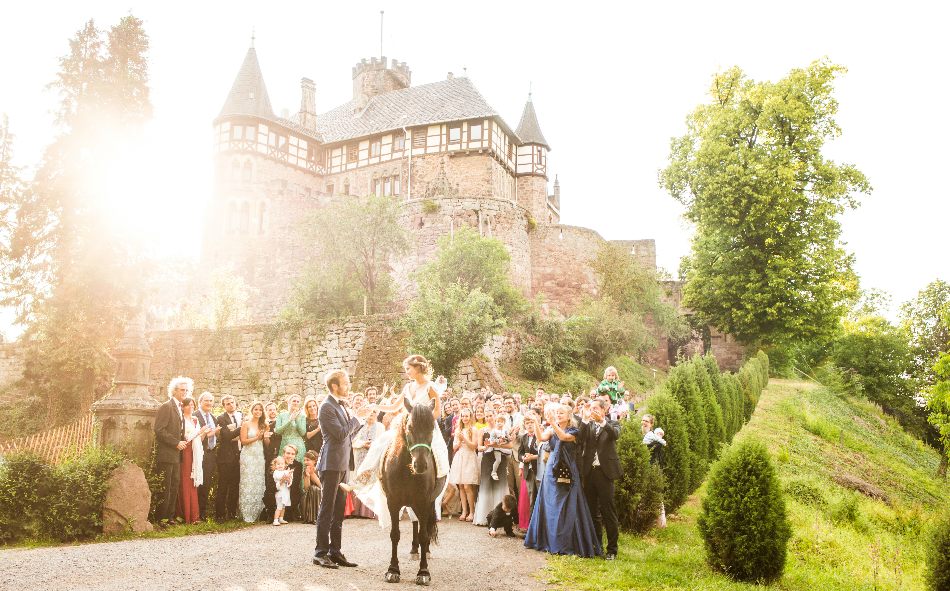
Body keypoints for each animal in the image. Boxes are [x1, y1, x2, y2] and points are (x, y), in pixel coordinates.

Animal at [382, 402, 448, 588]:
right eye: (410, 427)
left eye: (432, 427)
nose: (420, 464)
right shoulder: (393, 503)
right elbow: (395, 534)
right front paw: (393, 570)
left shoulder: (424, 502)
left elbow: (424, 535)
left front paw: (423, 572)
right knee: (415, 522)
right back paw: (413, 549)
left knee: (424, 526)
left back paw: (424, 550)